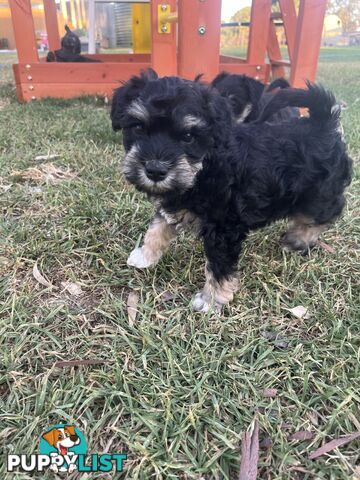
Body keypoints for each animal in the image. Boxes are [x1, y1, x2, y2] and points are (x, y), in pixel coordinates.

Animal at [112, 70, 352, 312]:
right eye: (138, 127)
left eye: (188, 136)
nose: (155, 170)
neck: (204, 167)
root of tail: (323, 124)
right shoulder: (172, 204)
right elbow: (156, 229)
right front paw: (144, 257)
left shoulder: (224, 230)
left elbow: (219, 268)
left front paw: (210, 301)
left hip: (318, 196)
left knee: (326, 214)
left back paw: (297, 240)